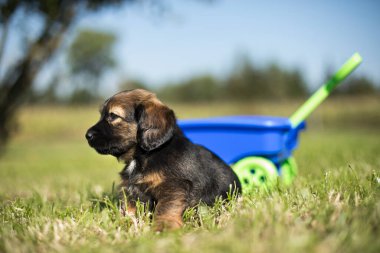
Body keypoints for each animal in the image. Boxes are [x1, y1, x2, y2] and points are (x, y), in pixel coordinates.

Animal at [85, 89, 240, 231]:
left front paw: (163, 227)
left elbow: (165, 208)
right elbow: (129, 210)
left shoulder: (173, 186)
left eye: (113, 116)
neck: (147, 155)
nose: (87, 135)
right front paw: (125, 224)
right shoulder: (130, 191)